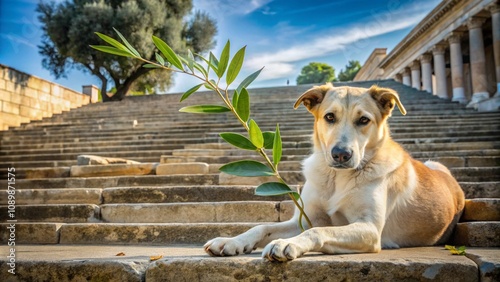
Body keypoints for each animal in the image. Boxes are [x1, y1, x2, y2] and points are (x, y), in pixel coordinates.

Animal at [203, 82, 464, 262]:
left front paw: (288, 244)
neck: (338, 178)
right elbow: (263, 226)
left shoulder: (370, 230)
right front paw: (231, 241)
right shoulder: (305, 217)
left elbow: (319, 230)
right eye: (329, 117)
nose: (341, 154)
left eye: (364, 120)